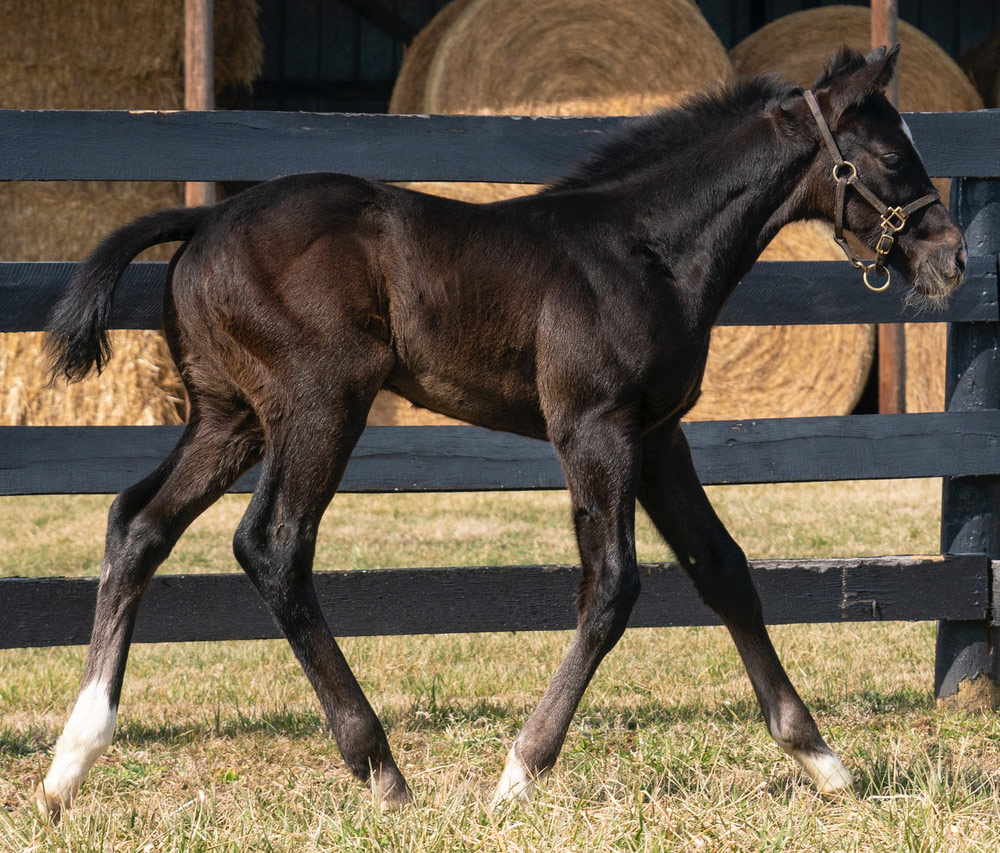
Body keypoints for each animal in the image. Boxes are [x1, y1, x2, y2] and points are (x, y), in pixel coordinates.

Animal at [37, 46, 960, 820]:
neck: (647, 249)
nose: (951, 257)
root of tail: (203, 223)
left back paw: (69, 762)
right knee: (272, 544)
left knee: (139, 522)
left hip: (230, 420)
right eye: (889, 156)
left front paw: (824, 760)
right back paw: (380, 768)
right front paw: (519, 771)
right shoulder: (593, 427)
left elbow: (724, 570)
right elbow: (611, 587)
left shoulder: (659, 437)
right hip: (319, 404)